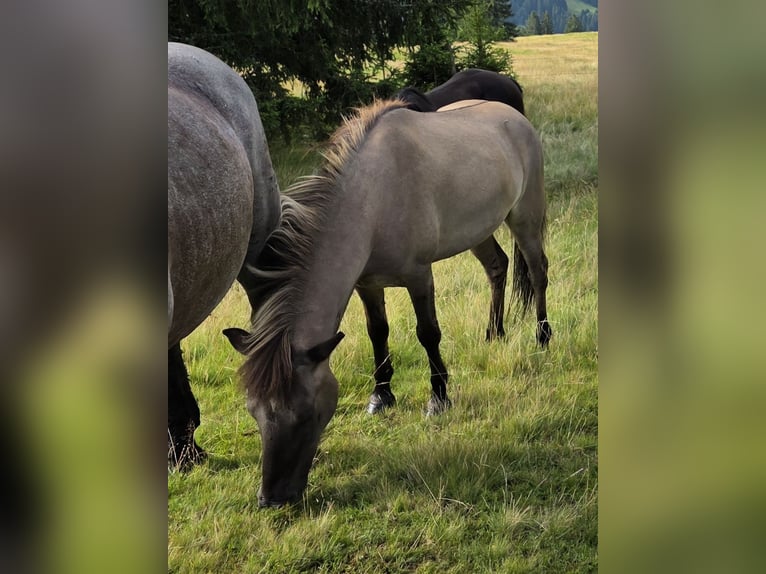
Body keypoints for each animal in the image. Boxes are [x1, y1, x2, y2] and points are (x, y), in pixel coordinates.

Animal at [222, 98, 551, 507]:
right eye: (253, 410)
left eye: (306, 414)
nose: (272, 499)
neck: (374, 200)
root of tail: (515, 116)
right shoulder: (367, 284)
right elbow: (377, 332)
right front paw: (381, 396)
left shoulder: (419, 276)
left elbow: (428, 334)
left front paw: (438, 400)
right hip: (479, 230)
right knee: (498, 266)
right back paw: (494, 332)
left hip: (524, 217)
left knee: (538, 270)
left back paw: (542, 337)